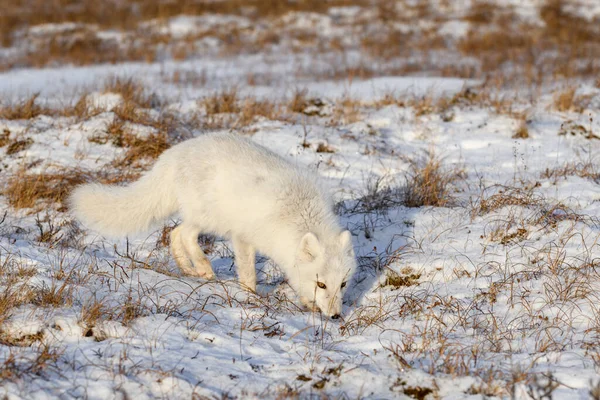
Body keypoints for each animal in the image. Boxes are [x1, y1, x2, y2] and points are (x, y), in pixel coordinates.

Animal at [69, 133, 356, 318]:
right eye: (322, 284)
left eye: (342, 284)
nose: (335, 317)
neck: (297, 214)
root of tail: (173, 153)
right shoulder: (243, 236)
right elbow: (248, 275)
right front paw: (250, 298)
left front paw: (308, 303)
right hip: (211, 219)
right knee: (185, 234)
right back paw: (204, 269)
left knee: (175, 234)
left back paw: (188, 268)